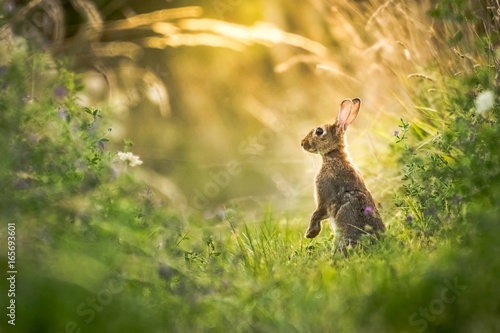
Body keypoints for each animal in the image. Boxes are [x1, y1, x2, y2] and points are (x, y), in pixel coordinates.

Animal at [300, 97, 386, 253]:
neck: (334, 157)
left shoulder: (324, 196)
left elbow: (317, 213)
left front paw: (310, 233)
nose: (302, 143)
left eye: (319, 131)